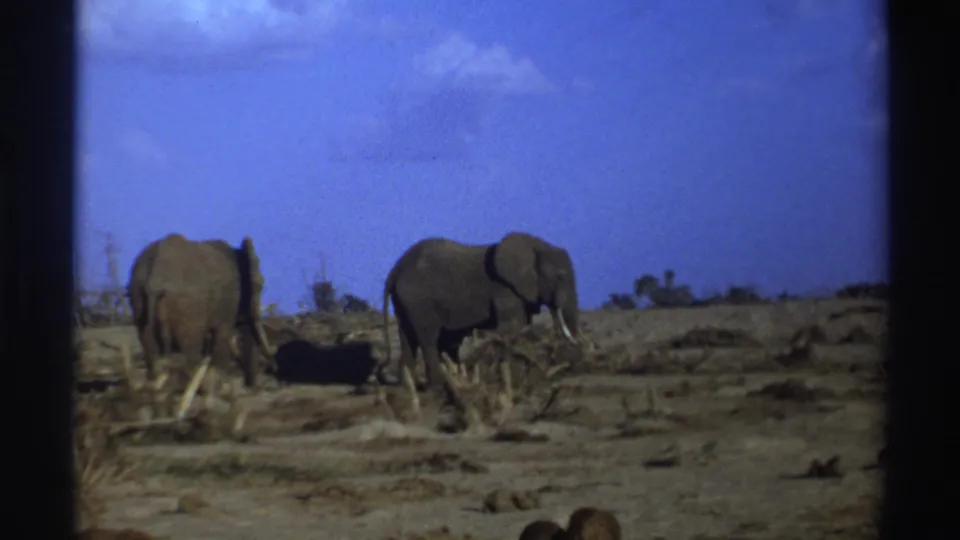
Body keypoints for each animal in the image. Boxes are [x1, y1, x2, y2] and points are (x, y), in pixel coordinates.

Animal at [126, 233, 277, 399]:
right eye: (260, 286)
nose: (252, 388)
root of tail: (155, 279)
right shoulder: (229, 300)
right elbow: (222, 335)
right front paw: (220, 389)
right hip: (189, 306)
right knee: (190, 346)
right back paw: (194, 390)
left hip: (138, 297)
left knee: (149, 344)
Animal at [380, 232, 582, 390]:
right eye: (560, 277)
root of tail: (395, 270)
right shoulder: (504, 289)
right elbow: (513, 325)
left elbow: (523, 326)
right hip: (418, 299)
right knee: (428, 338)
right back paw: (438, 386)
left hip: (404, 300)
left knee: (408, 338)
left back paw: (408, 387)